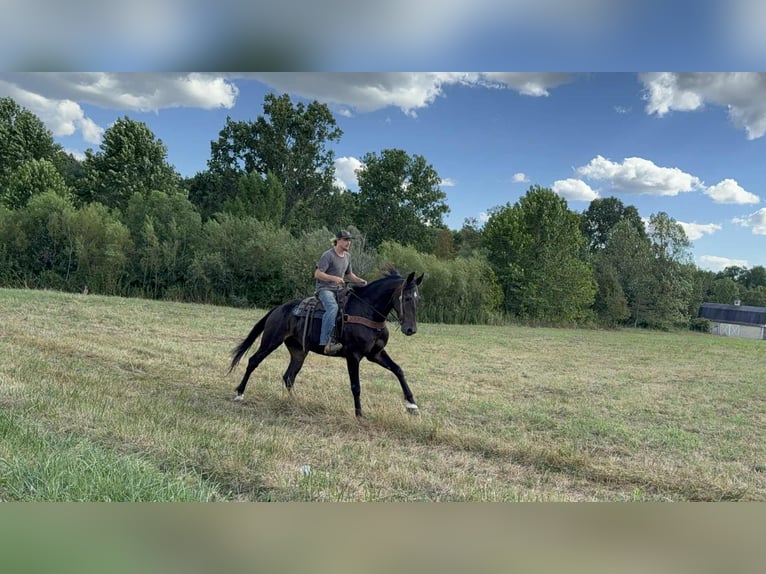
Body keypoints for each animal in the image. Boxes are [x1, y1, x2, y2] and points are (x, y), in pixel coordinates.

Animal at [228, 268, 424, 418]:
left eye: (418, 299)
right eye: (407, 298)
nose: (410, 329)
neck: (367, 312)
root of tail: (278, 308)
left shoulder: (375, 354)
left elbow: (398, 370)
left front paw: (412, 405)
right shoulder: (353, 356)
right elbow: (356, 386)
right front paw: (359, 414)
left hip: (298, 351)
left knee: (289, 376)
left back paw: (295, 401)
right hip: (270, 341)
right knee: (253, 361)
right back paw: (239, 393)